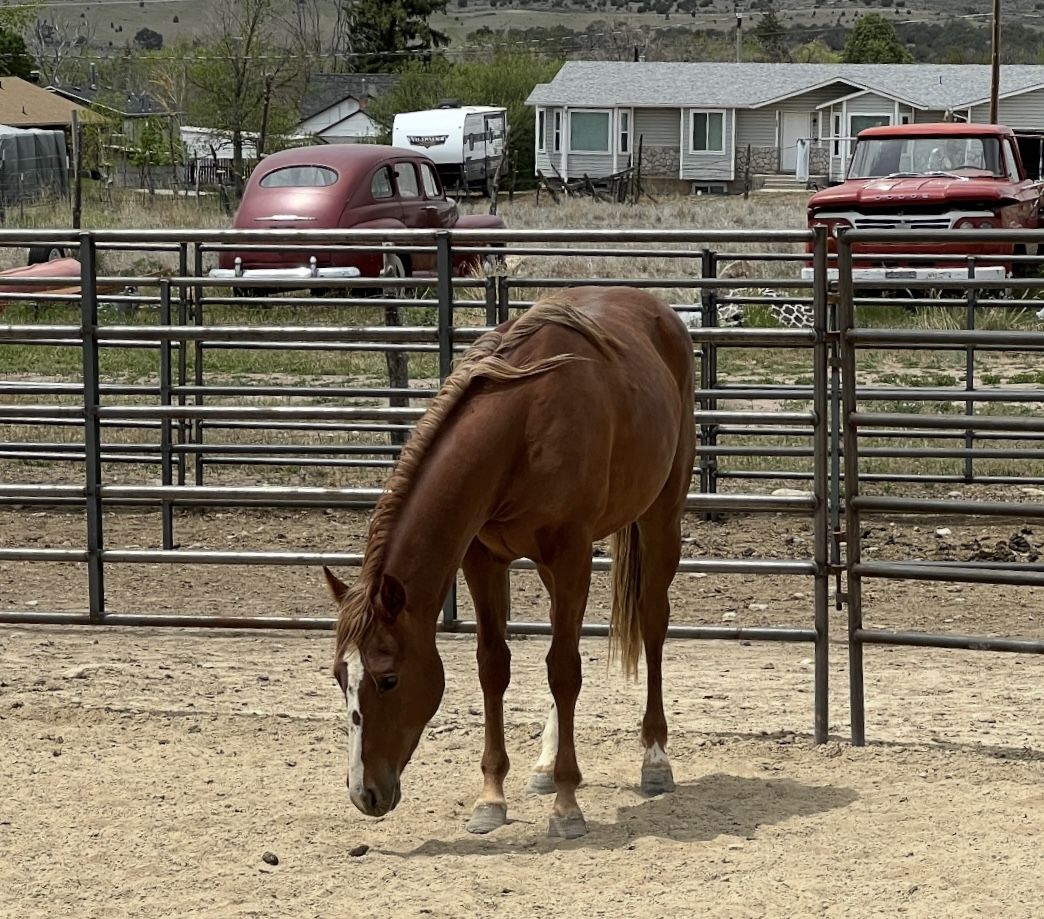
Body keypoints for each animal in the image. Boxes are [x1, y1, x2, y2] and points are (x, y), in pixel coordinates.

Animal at [324, 286, 696, 839]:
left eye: (388, 679)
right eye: (338, 676)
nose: (363, 794)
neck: (521, 426)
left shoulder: (571, 552)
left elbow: (564, 669)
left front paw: (566, 805)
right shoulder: (482, 559)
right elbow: (494, 666)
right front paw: (492, 798)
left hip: (660, 516)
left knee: (652, 624)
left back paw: (654, 759)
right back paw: (544, 764)